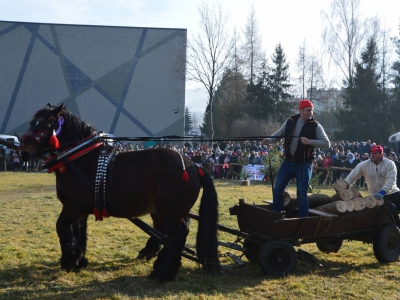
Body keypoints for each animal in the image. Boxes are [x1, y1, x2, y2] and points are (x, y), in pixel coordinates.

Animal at [19, 103, 222, 282]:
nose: (23, 153)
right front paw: (79, 260)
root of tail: (194, 165)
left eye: (45, 126)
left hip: (169, 212)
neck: (80, 158)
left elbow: (61, 226)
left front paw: (69, 260)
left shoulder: (73, 205)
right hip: (168, 212)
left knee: (177, 238)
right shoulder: (79, 210)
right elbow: (79, 232)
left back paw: (162, 273)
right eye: (32, 123)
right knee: (175, 234)